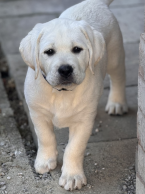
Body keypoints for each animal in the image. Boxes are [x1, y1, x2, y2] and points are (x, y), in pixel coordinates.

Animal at [19, 0, 128, 191]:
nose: (65, 69)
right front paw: (45, 160)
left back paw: (117, 103)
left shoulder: (83, 122)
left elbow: (74, 148)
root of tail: (97, 2)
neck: (61, 93)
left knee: (118, 78)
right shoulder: (37, 113)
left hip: (115, 55)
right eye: (49, 52)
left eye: (77, 49)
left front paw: (72, 176)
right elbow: (45, 137)